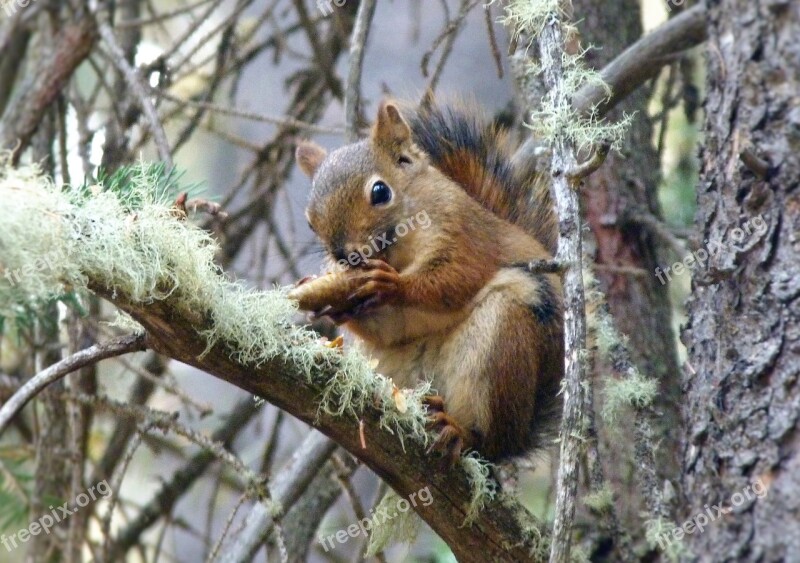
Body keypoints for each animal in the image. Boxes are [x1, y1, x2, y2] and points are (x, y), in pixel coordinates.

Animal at [292, 99, 564, 464]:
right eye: (310, 222)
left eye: (380, 191)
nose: (344, 256)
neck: (398, 252)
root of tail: (517, 440)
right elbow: (390, 328)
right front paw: (330, 303)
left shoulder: (465, 236)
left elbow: (455, 278)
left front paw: (393, 286)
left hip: (502, 346)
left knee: (484, 439)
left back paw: (460, 431)